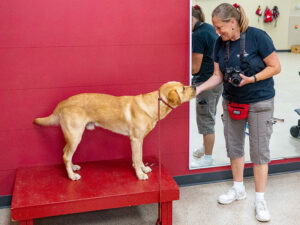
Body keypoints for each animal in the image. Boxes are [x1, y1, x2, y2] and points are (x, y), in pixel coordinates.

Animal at [33, 81, 197, 180]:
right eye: (183, 88)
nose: (195, 86)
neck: (155, 104)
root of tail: (63, 103)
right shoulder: (135, 139)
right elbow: (137, 158)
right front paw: (140, 174)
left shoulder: (139, 140)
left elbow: (139, 157)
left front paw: (143, 169)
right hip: (75, 136)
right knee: (66, 155)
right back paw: (72, 176)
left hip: (72, 137)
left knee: (65, 152)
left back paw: (73, 168)